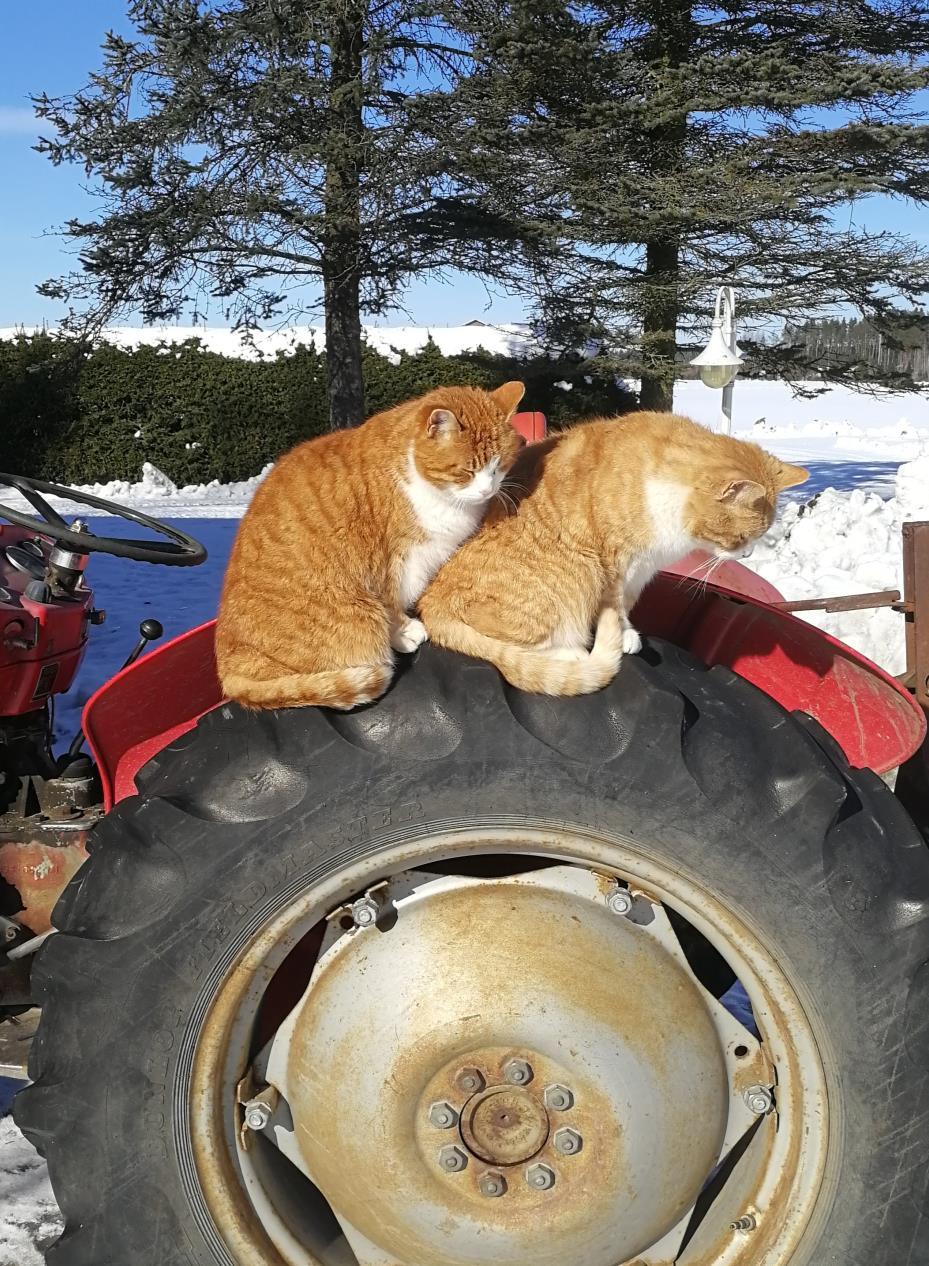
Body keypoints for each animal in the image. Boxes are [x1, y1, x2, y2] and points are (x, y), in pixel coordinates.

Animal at [215, 379, 526, 708]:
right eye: (466, 471)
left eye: (498, 467)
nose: (487, 490)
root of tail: (228, 673)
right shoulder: (392, 561)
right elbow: (391, 604)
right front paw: (404, 633)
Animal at [417, 412, 810, 693]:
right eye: (741, 538)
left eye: (758, 537)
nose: (746, 558)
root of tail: (431, 603)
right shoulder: (614, 561)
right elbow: (616, 602)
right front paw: (621, 636)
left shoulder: (643, 567)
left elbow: (629, 602)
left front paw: (628, 632)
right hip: (578, 573)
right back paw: (573, 654)